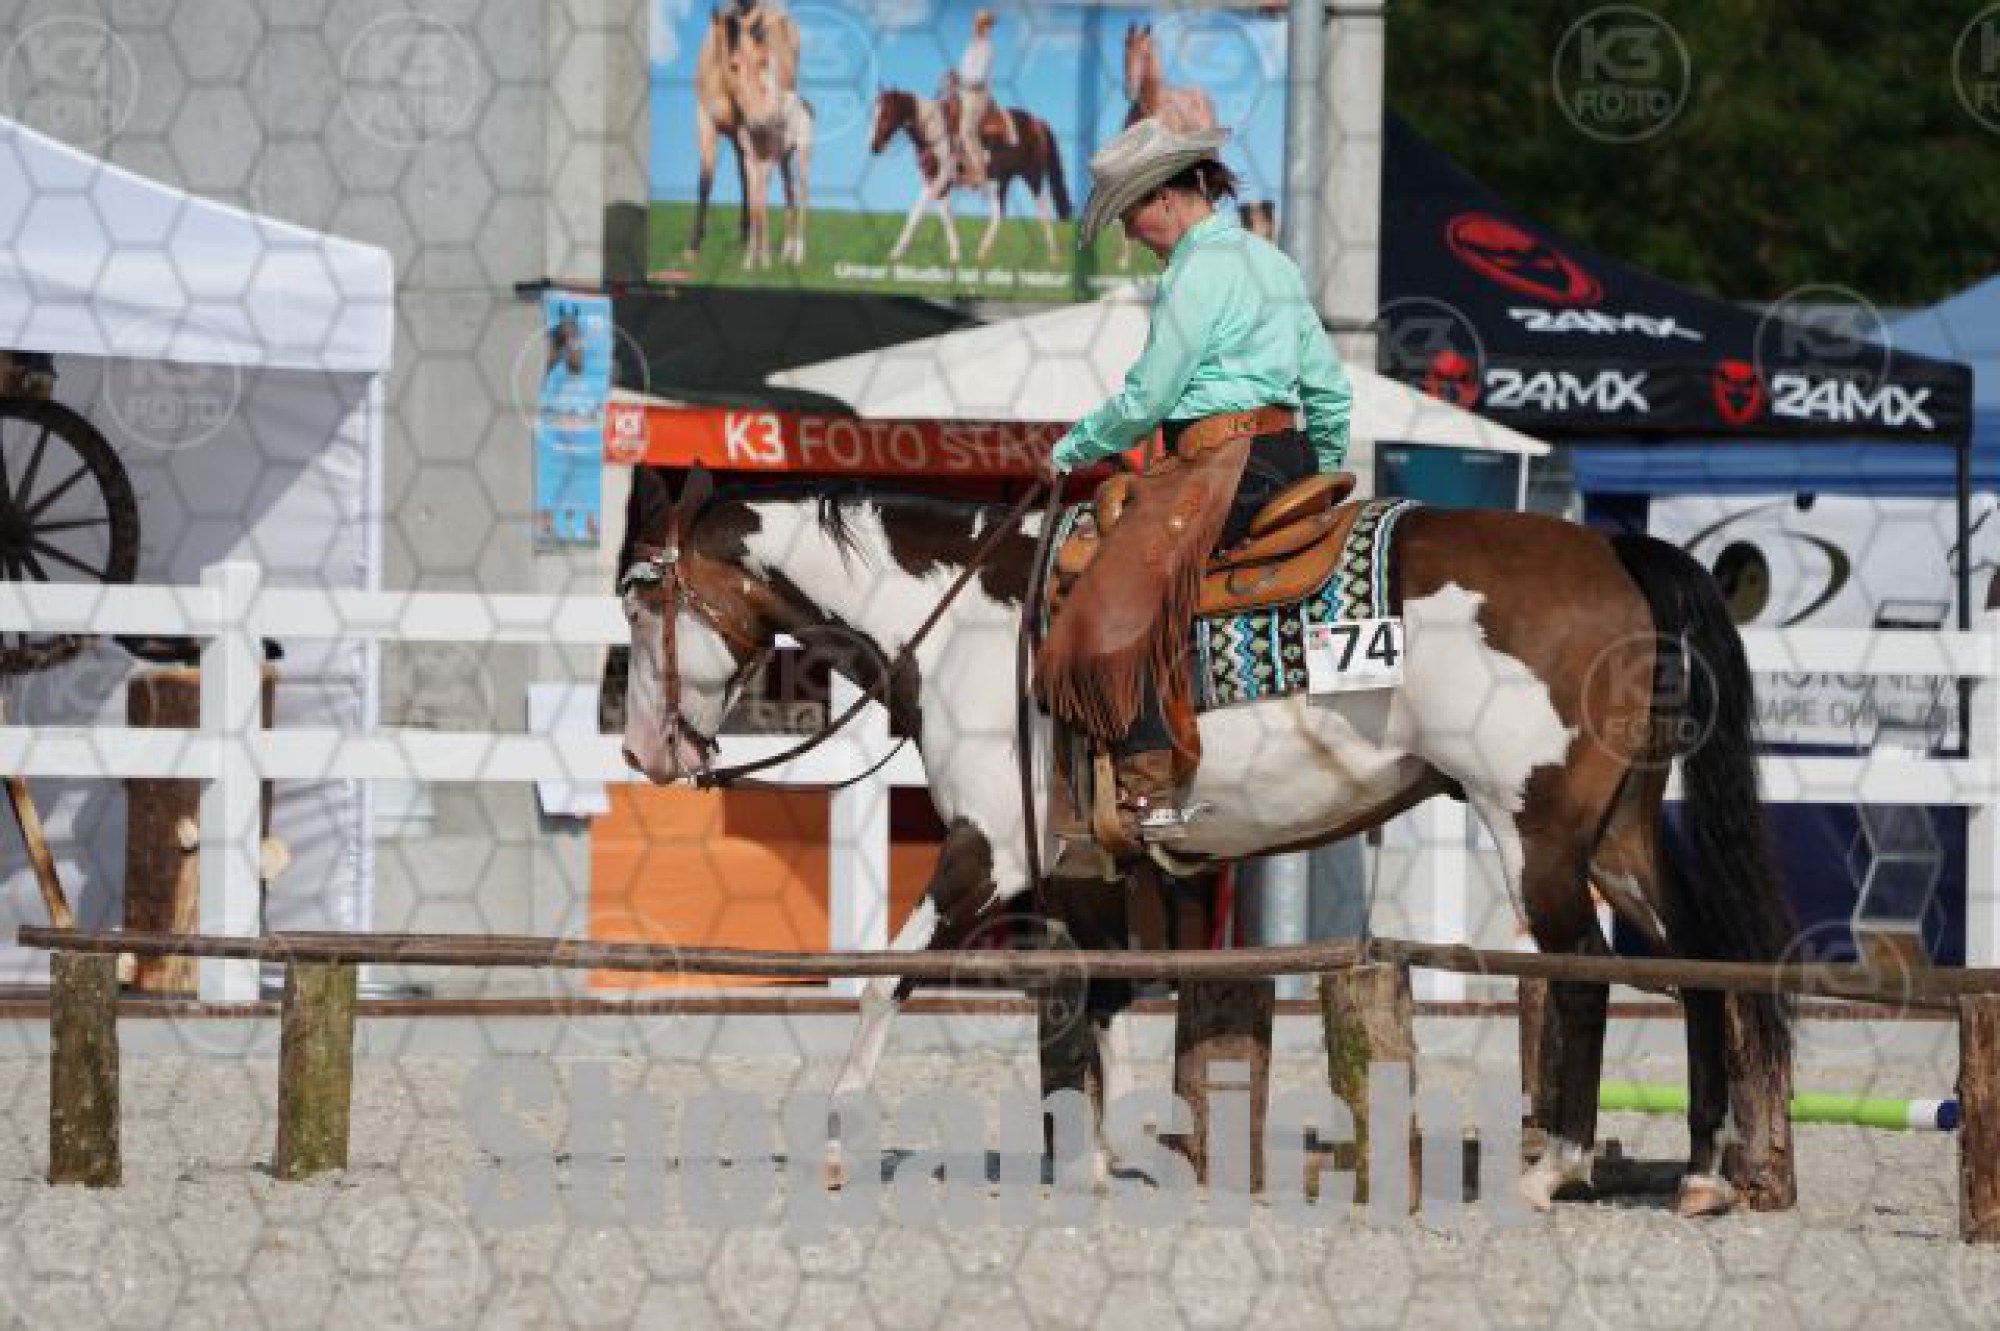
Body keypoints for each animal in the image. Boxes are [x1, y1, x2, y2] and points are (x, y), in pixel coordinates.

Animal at [618, 467, 1799, 1217]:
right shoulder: (1079, 870)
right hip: (1617, 834)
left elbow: (884, 974)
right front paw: (1105, 1157)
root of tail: (1615, 551)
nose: (642, 748)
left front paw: (836, 1134)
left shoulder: (987, 850)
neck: (970, 624)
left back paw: (1550, 1168)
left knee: (1587, 973)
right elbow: (1101, 997)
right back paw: (1703, 1171)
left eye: (642, 598)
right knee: (1695, 964)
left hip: (1537, 830)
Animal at [687, 3, 811, 268]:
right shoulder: (704, 122)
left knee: (781, 186)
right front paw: (693, 247)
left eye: (762, 62)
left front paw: (756, 253)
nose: (763, 117)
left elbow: (754, 189)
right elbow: (705, 181)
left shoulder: (749, 135)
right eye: (734, 65)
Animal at [869, 88, 1073, 266]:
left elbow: (920, 212)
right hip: (1001, 180)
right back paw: (982, 253)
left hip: (1032, 175)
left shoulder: (940, 180)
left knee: (1042, 210)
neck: (936, 134)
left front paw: (897, 252)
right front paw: (953, 254)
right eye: (874, 114)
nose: (874, 147)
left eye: (885, 114)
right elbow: (936, 214)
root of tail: (1037, 122)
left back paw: (1054, 256)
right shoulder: (932, 181)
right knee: (999, 214)